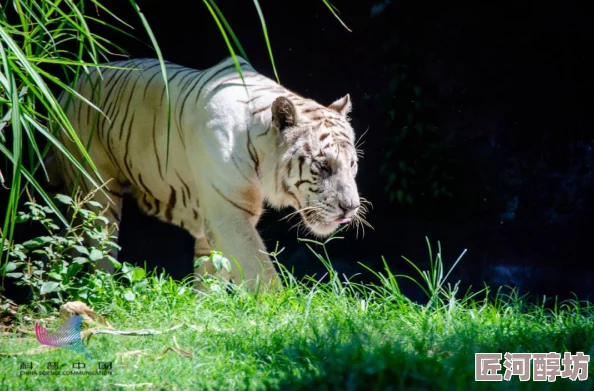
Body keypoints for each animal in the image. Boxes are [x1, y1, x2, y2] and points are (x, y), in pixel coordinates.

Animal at [51, 56, 364, 292]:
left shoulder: (216, 218)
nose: (351, 208)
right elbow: (259, 270)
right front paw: (283, 313)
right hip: (96, 192)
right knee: (98, 248)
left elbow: (214, 270)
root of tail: (70, 85)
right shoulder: (229, 213)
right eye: (323, 166)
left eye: (352, 165)